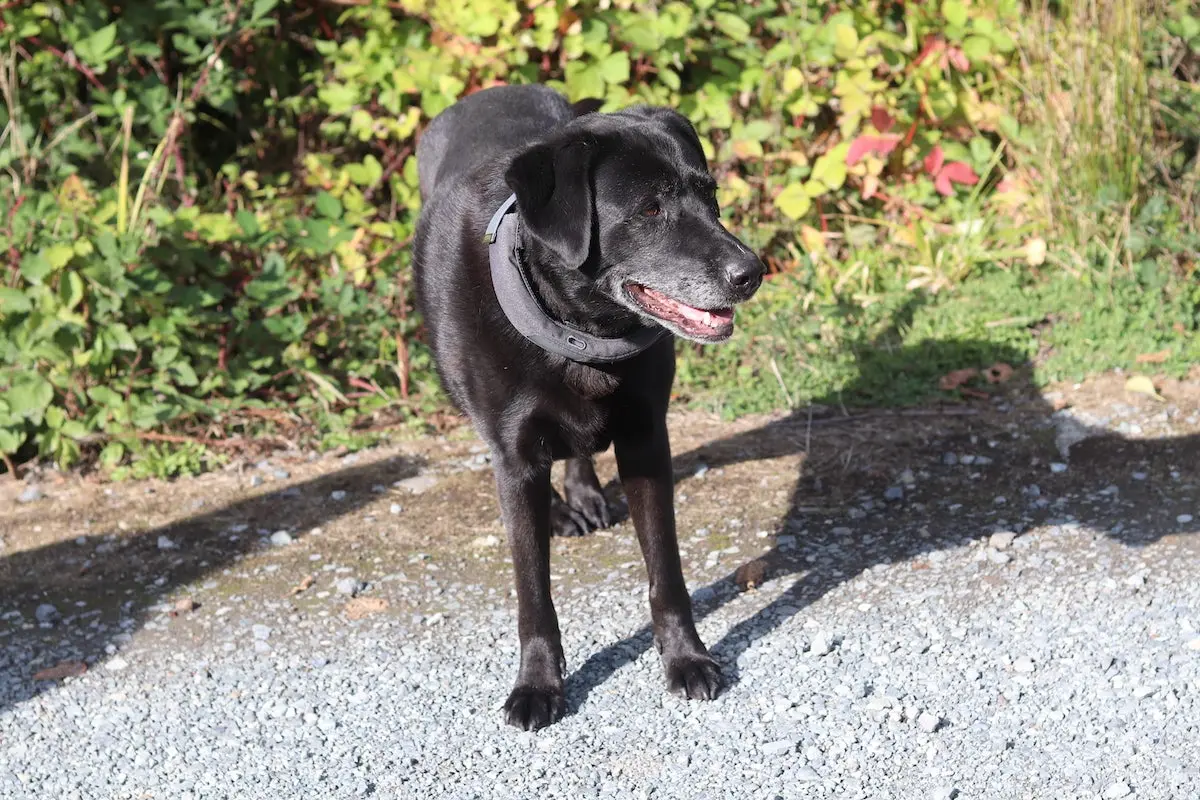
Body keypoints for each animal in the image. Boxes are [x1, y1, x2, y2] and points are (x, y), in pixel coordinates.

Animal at [412, 86, 763, 734]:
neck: (578, 333)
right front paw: (537, 685)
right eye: (650, 210)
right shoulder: (515, 456)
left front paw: (686, 658)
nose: (751, 272)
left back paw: (584, 492)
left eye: (710, 197)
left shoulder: (647, 439)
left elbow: (666, 572)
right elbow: (533, 592)